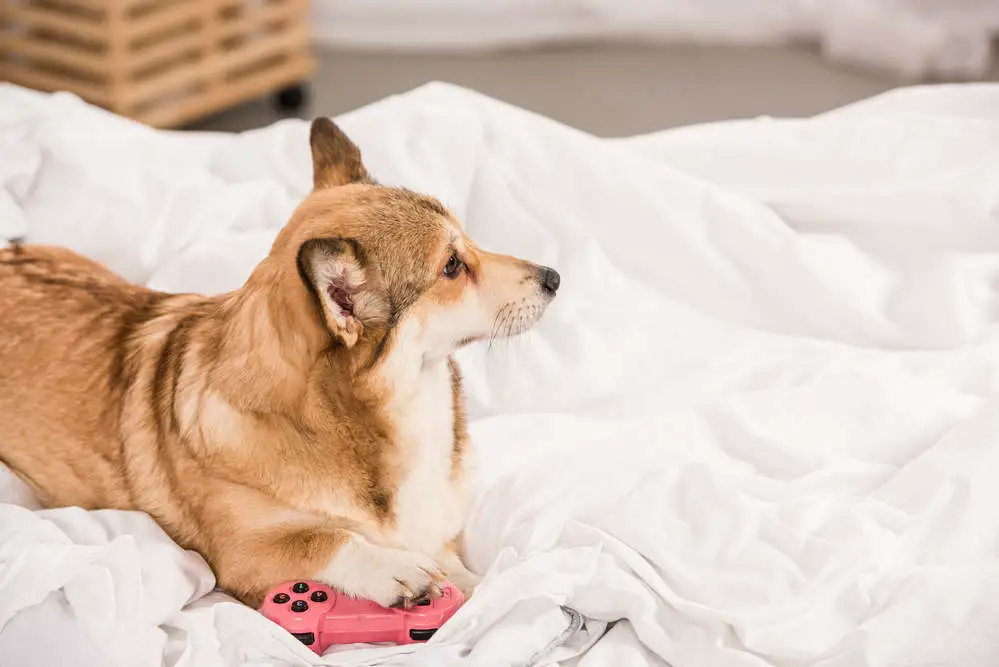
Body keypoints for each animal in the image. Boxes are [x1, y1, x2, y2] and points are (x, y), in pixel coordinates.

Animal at [0, 117, 560, 608]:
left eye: (467, 243)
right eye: (451, 266)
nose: (554, 277)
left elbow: (466, 572)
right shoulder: (239, 557)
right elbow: (326, 539)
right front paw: (395, 569)